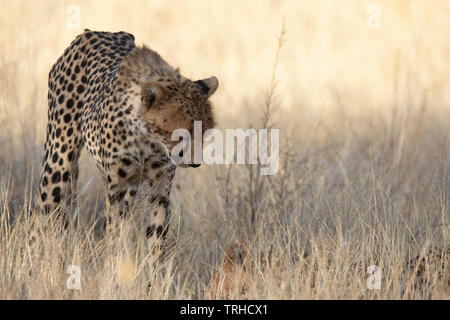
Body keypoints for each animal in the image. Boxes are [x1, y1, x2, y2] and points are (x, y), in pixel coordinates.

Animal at [36, 29, 218, 248]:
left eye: (204, 133)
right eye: (180, 134)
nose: (195, 163)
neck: (149, 141)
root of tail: (92, 32)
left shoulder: (160, 188)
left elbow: (156, 232)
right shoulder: (117, 188)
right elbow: (114, 233)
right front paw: (114, 256)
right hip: (59, 161)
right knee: (44, 209)